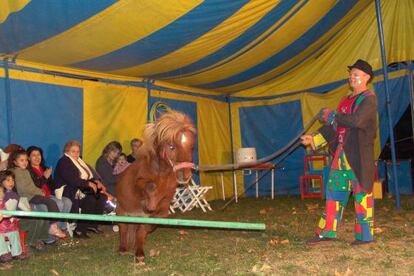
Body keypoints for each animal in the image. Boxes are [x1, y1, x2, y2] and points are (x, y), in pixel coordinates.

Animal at [115, 110, 196, 264]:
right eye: (171, 146)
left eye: (191, 146)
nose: (186, 176)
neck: (162, 174)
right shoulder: (139, 183)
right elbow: (150, 186)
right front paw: (149, 204)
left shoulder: (164, 206)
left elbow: (147, 226)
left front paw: (139, 252)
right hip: (121, 210)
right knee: (123, 227)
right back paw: (122, 249)